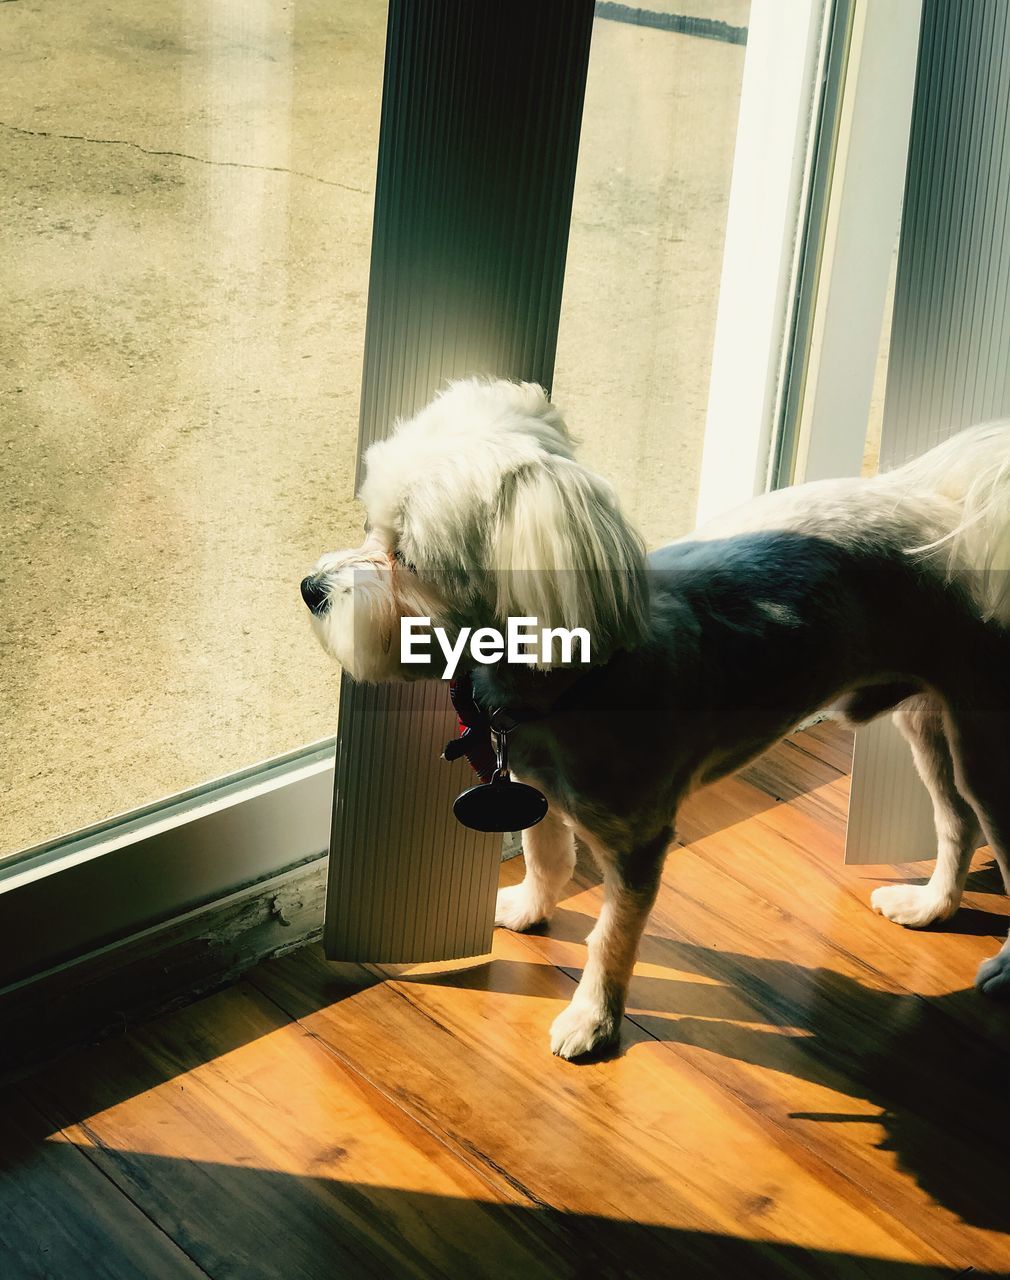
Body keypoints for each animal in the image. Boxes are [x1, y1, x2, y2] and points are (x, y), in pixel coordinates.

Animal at [299, 376, 1008, 1059]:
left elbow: (612, 937)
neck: (576, 681)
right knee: (957, 821)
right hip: (928, 723)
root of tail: (955, 512)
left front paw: (594, 1020)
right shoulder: (534, 785)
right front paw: (529, 909)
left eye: (410, 559)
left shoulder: (639, 843)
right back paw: (933, 905)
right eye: (369, 524)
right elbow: (546, 855)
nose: (311, 589)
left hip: (984, 743)